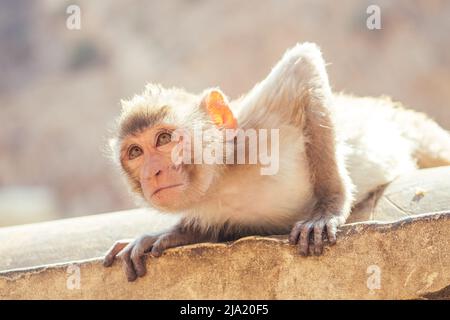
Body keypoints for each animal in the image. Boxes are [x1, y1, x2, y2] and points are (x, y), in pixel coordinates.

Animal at [103, 42, 450, 280]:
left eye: (163, 139)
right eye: (135, 152)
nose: (153, 172)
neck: (222, 178)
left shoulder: (256, 126)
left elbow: (303, 65)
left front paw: (329, 207)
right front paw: (165, 235)